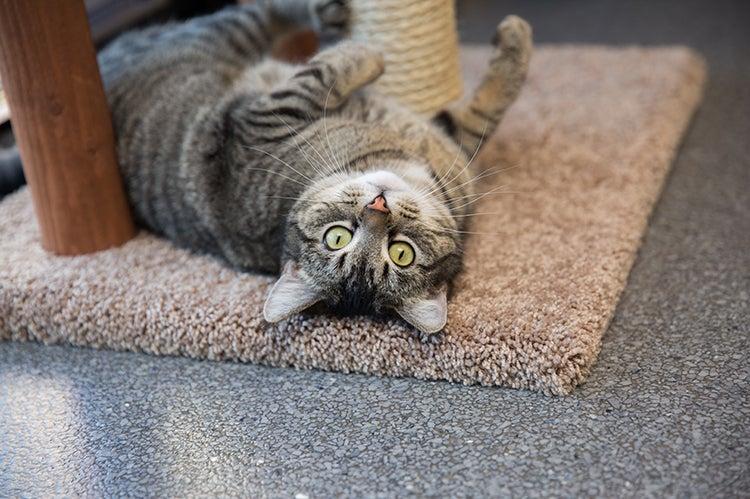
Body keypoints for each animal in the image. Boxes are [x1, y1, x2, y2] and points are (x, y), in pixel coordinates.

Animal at [100, 0, 536, 336]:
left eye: (401, 253)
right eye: (337, 238)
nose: (378, 206)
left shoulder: (451, 145)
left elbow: (483, 113)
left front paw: (515, 41)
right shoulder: (257, 122)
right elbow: (324, 72)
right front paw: (369, 54)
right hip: (215, 38)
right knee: (260, 12)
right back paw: (332, 17)